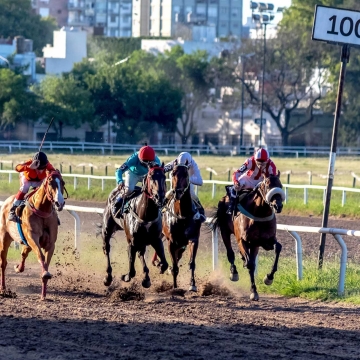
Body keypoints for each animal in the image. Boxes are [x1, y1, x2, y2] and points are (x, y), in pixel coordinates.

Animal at [0, 170, 66, 300]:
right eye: (50, 183)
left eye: (62, 182)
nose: (59, 203)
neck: (42, 211)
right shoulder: (32, 238)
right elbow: (41, 256)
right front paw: (45, 274)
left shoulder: (50, 244)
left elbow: (46, 262)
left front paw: (43, 294)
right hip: (4, 237)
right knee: (3, 263)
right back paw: (3, 289)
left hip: (25, 243)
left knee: (24, 253)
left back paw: (18, 268)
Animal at [160, 162, 201, 292]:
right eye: (172, 173)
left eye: (186, 174)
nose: (177, 191)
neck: (182, 214)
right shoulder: (171, 242)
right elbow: (174, 266)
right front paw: (174, 287)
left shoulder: (193, 239)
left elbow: (191, 263)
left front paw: (192, 284)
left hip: (182, 245)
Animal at [211, 172, 284, 300]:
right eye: (267, 186)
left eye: (280, 185)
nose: (278, 206)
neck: (259, 214)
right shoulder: (242, 240)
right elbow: (250, 264)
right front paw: (254, 291)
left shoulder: (266, 241)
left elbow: (278, 248)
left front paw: (269, 278)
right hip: (225, 231)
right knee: (230, 253)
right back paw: (234, 272)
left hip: (254, 245)